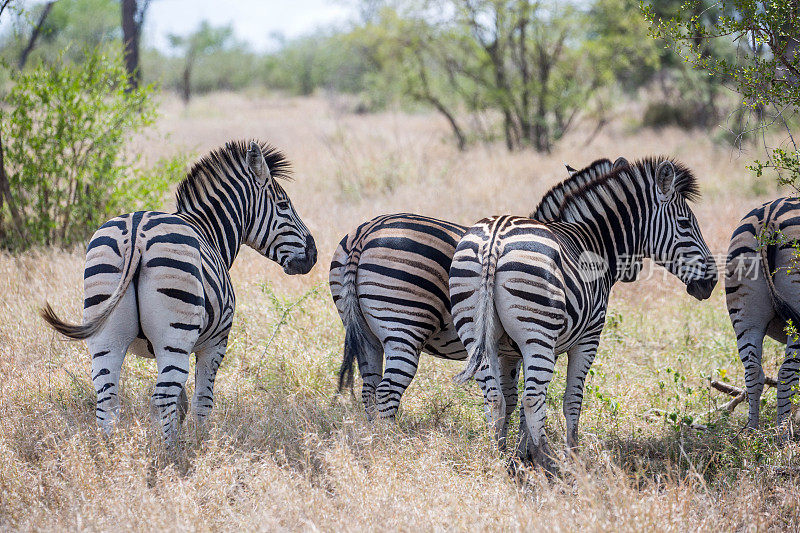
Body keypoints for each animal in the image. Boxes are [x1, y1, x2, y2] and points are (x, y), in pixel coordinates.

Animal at [40, 139, 316, 442]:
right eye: (284, 204)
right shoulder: (214, 343)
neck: (210, 233)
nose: (314, 255)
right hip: (175, 334)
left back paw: (111, 451)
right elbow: (201, 401)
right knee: (162, 397)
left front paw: (182, 436)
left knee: (108, 400)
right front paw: (201, 443)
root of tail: (135, 233)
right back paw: (170, 452)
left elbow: (180, 403)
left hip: (107, 333)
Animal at [328, 156, 628, 422]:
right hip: (405, 323)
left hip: (363, 330)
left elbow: (509, 395)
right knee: (387, 390)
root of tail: (366, 233)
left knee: (370, 388)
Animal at [450, 156, 720, 468]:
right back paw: (550, 464)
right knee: (532, 398)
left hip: (476, 332)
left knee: (494, 399)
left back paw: (500, 460)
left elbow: (513, 401)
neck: (595, 242)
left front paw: (519, 455)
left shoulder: (514, 350)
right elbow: (571, 399)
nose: (712, 282)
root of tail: (495, 238)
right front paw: (572, 455)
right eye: (685, 223)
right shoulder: (588, 337)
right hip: (537, 335)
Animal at [728, 195, 800, 436]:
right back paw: (783, 433)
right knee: (787, 372)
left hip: (745, 317)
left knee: (753, 372)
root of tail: (770, 216)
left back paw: (752, 431)